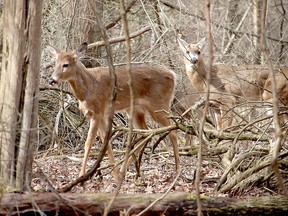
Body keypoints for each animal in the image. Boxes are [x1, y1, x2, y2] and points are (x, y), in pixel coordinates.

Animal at [47, 41, 180, 177]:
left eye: (65, 64)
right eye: (54, 63)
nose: (52, 80)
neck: (88, 88)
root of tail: (173, 75)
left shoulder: (98, 112)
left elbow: (88, 143)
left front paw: (81, 175)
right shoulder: (100, 115)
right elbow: (106, 142)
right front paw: (114, 174)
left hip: (159, 105)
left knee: (173, 131)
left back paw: (177, 169)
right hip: (135, 110)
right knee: (145, 132)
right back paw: (123, 170)